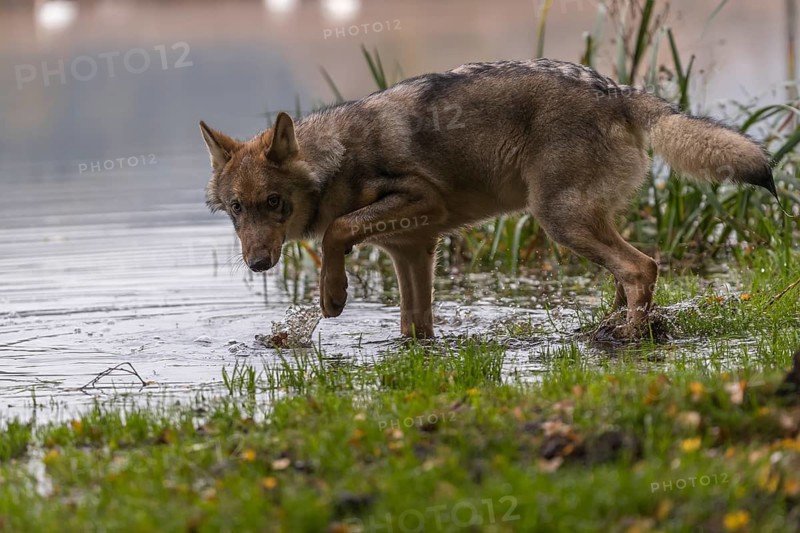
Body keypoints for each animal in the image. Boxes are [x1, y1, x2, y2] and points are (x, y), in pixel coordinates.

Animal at [200, 58, 776, 339]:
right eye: (237, 209)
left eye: (275, 203)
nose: (257, 264)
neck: (335, 160)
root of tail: (617, 90)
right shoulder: (414, 251)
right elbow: (415, 327)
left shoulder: (421, 203)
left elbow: (338, 231)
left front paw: (333, 299)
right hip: (584, 223)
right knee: (636, 272)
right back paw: (614, 330)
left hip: (559, 221)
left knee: (642, 268)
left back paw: (629, 340)